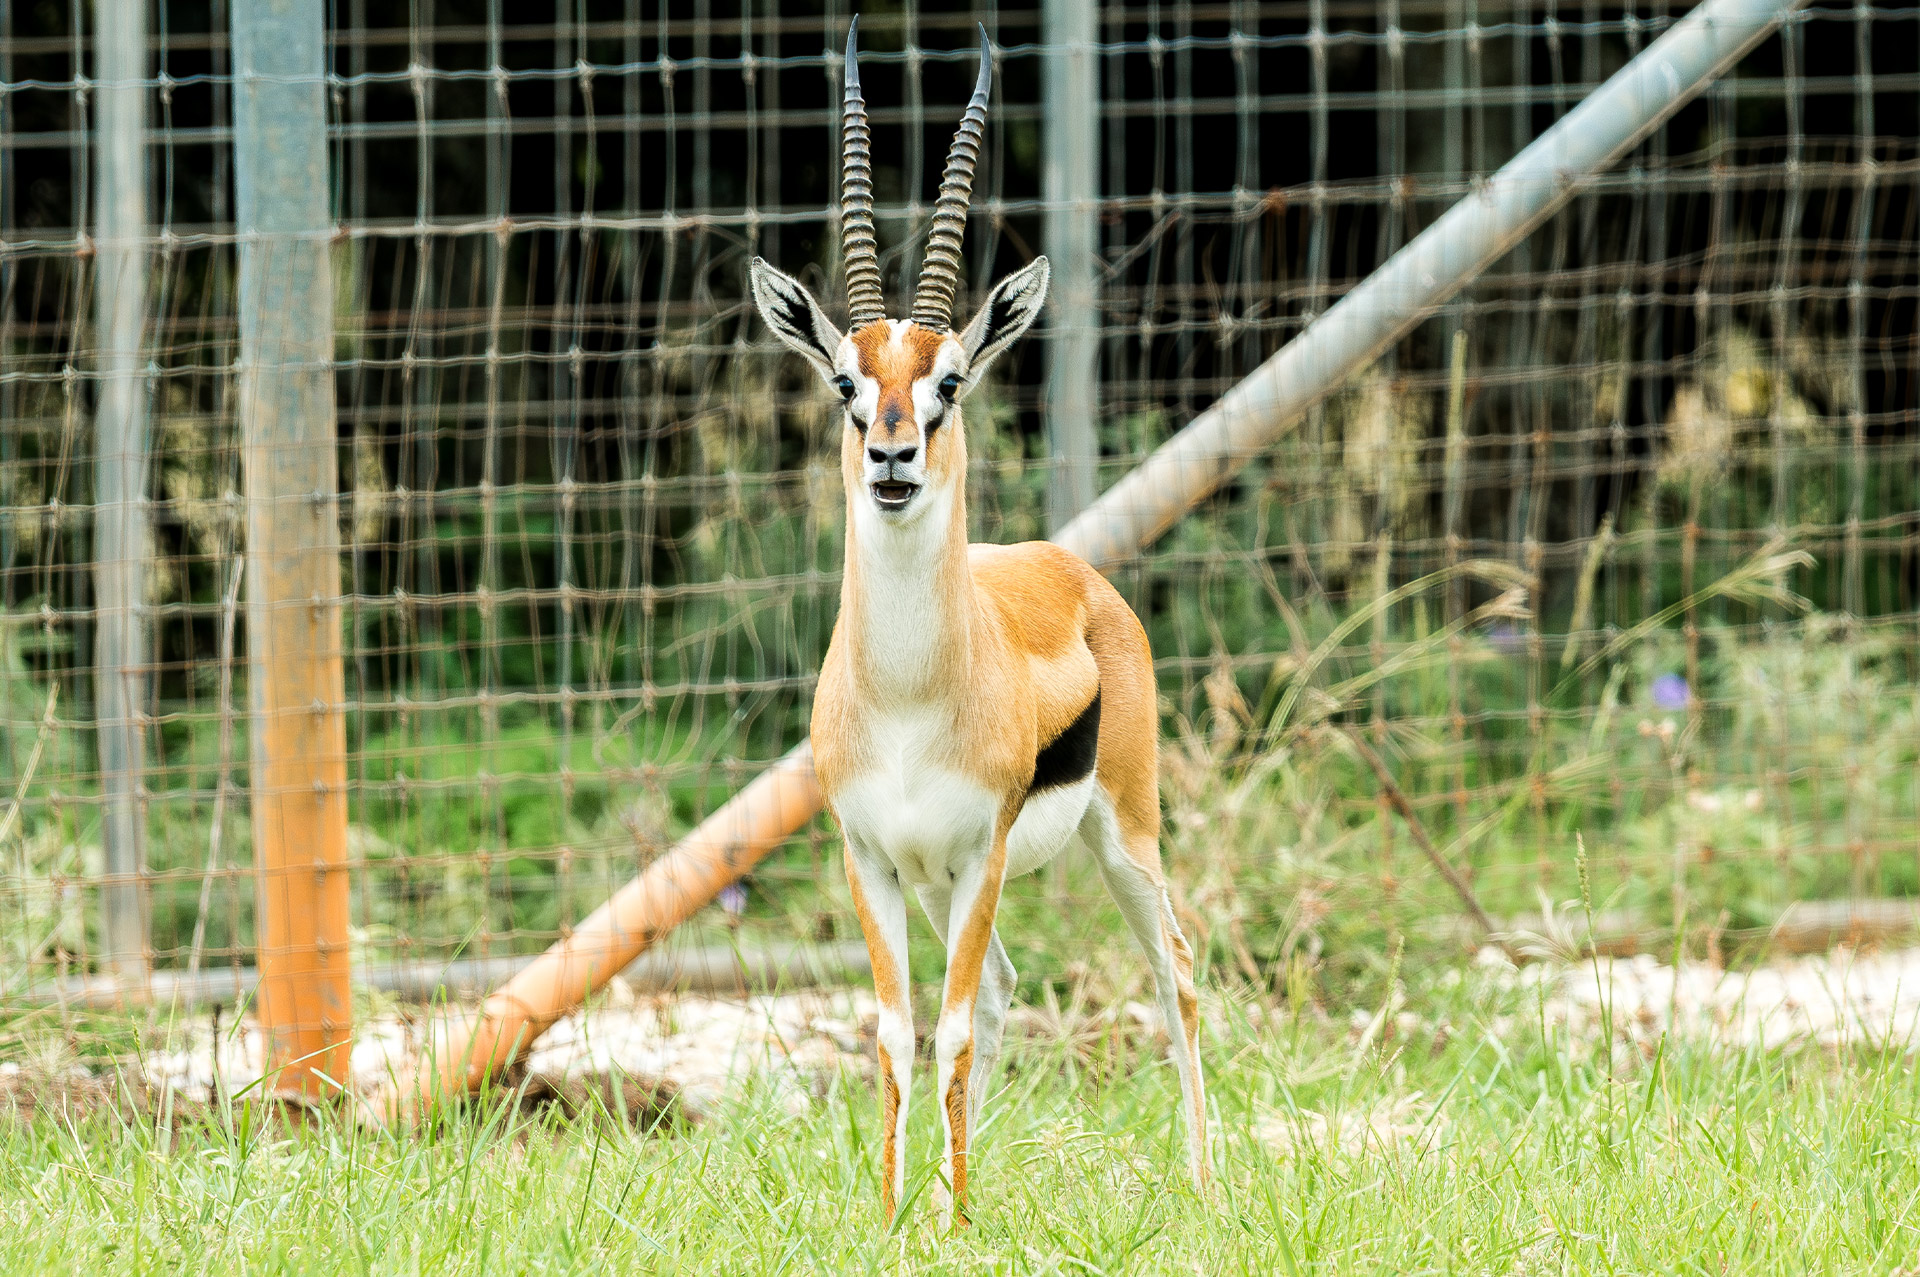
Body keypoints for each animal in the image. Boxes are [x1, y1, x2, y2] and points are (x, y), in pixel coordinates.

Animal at [748, 21, 1207, 1226]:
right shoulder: (871, 855)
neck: (910, 700)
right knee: (999, 991)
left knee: (1176, 967)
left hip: (1124, 834)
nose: (893, 457)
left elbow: (945, 1028)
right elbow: (896, 1035)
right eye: (845, 382)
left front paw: (950, 1220)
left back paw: (1202, 1184)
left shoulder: (979, 851)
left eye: (950, 380)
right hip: (955, 880)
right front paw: (899, 1218)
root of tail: (1068, 566)